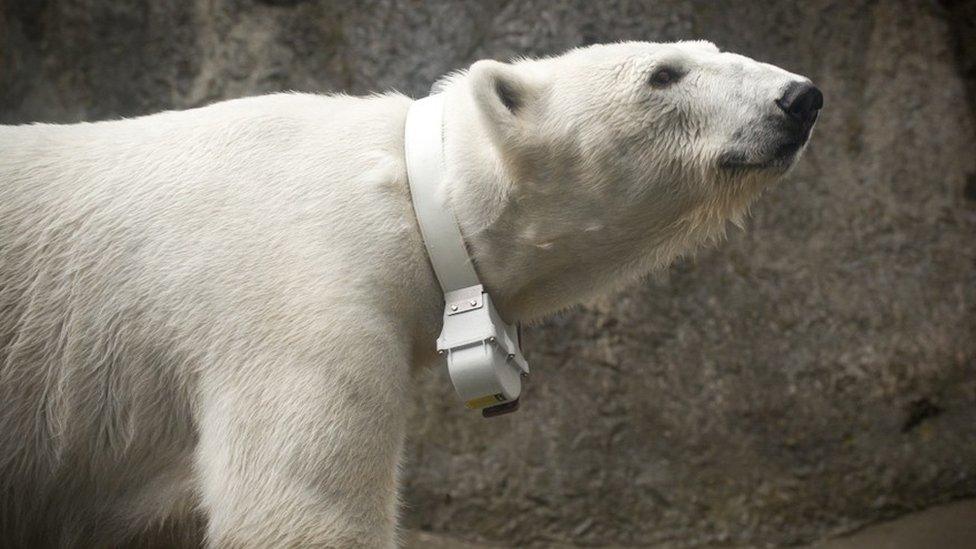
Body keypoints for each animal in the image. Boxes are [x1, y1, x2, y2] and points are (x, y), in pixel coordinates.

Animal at [0, 40, 820, 544]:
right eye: (664, 74)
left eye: (709, 48)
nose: (799, 97)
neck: (410, 189)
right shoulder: (296, 297)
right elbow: (299, 507)